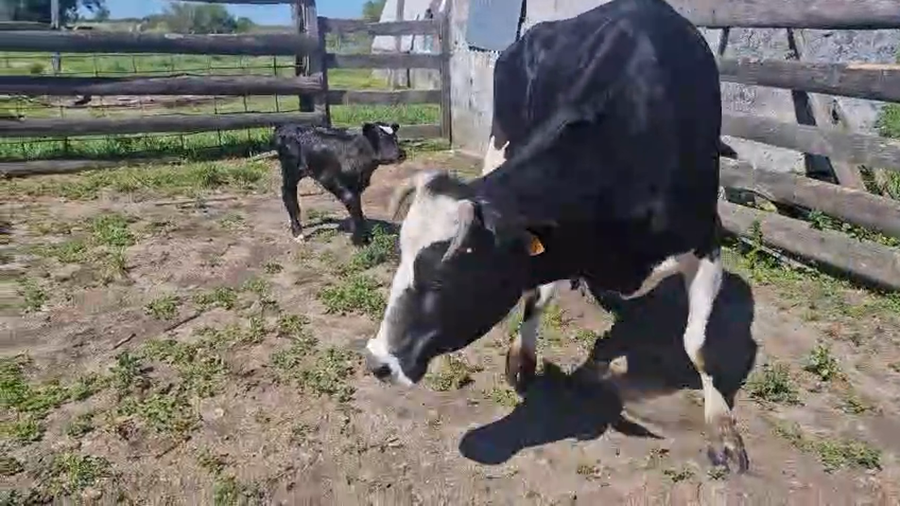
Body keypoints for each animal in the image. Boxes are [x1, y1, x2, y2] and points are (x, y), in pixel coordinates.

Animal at [273, 122, 406, 246]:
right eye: (380, 136)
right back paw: (298, 234)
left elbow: (358, 211)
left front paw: (366, 236)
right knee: (287, 193)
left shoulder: (357, 187)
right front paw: (360, 241)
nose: (401, 153)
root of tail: (287, 127)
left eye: (395, 137)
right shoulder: (340, 185)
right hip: (291, 171)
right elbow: (356, 211)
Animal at [363, 0, 750, 473]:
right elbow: (533, 296)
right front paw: (521, 360)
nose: (377, 361)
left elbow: (698, 344)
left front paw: (723, 430)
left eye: (439, 279)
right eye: (400, 259)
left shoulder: (708, 241)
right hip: (501, 137)